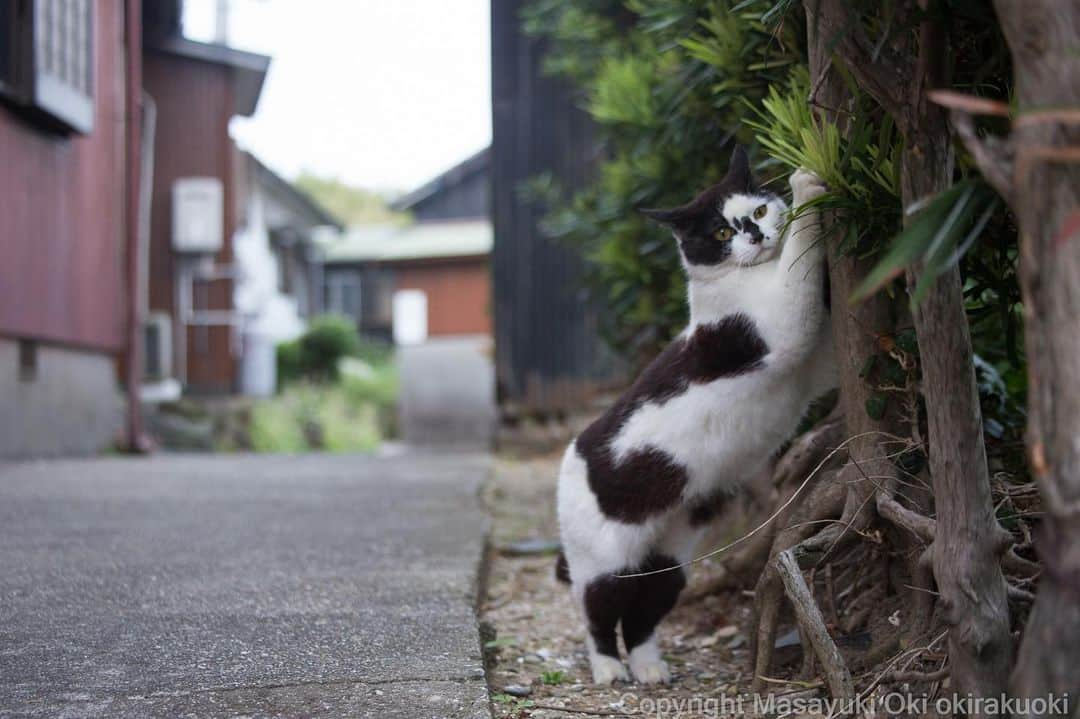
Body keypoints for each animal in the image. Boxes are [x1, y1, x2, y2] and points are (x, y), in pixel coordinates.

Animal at [557, 145, 833, 682]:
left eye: (759, 211)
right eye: (721, 233)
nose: (754, 235)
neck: (751, 276)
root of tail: (571, 452)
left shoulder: (813, 362)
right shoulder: (782, 329)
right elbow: (801, 266)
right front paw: (807, 182)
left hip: (669, 560)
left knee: (642, 615)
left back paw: (649, 668)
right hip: (603, 563)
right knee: (597, 614)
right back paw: (609, 669)